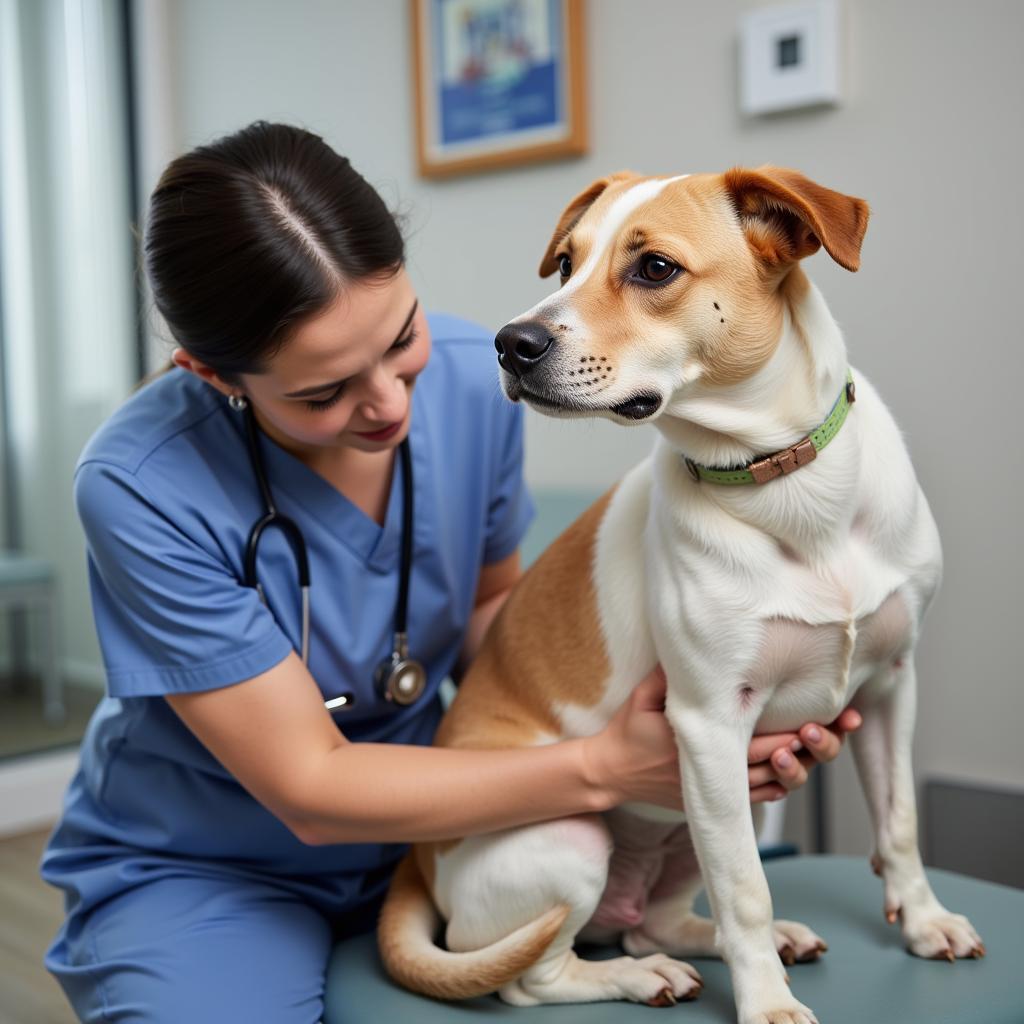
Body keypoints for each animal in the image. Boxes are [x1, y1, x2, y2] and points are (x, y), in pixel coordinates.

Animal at [378, 169, 983, 1024]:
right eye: (567, 263)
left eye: (655, 268)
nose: (511, 343)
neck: (786, 487)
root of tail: (420, 864)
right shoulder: (708, 726)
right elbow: (746, 890)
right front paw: (767, 1005)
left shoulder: (893, 685)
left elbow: (898, 822)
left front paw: (926, 923)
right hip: (576, 842)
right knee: (532, 976)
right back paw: (642, 977)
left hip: (719, 814)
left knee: (653, 920)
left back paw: (721, 943)